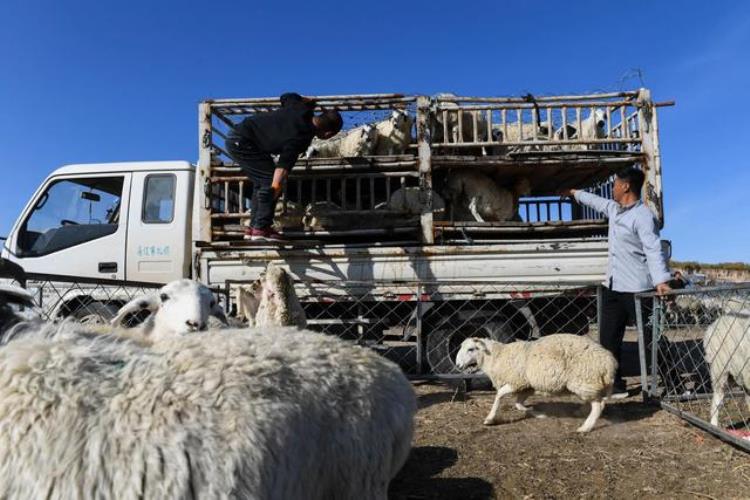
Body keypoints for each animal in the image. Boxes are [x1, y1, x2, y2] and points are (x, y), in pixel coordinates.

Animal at [456, 334, 620, 432]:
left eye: (471, 349)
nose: (457, 365)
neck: (497, 356)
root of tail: (610, 363)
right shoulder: (527, 387)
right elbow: (518, 404)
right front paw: (539, 414)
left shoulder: (516, 381)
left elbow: (499, 395)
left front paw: (490, 419)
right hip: (588, 383)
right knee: (597, 401)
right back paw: (582, 412)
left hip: (584, 380)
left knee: (598, 404)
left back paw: (585, 427)